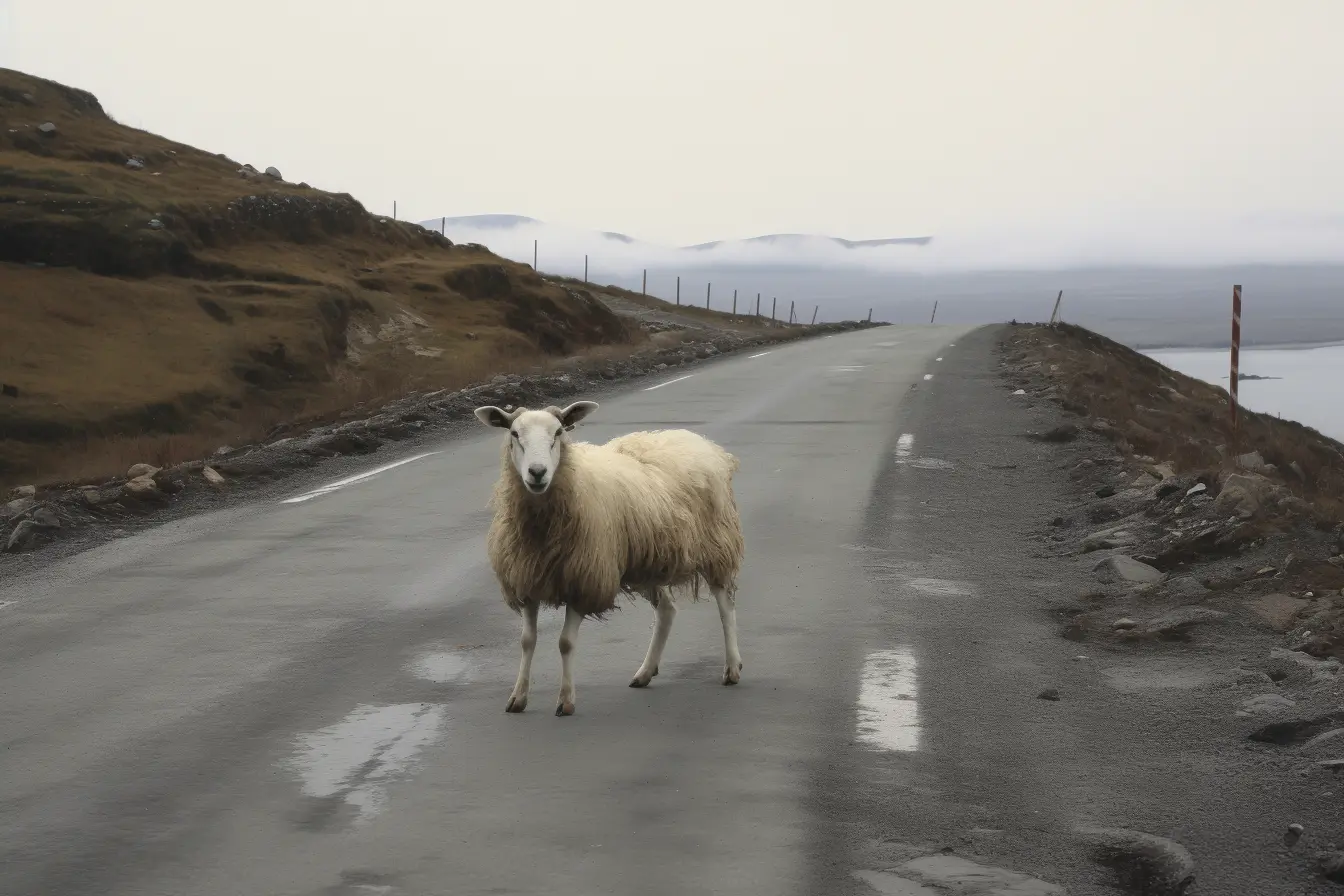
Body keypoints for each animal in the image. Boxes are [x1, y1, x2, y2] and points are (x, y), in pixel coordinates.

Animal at [473, 400, 745, 716]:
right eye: (515, 433)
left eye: (558, 433)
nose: (537, 472)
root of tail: (698, 440)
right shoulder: (526, 579)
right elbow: (527, 641)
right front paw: (518, 697)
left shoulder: (584, 580)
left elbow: (566, 643)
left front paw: (566, 700)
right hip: (645, 563)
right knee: (666, 611)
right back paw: (644, 673)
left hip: (716, 545)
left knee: (725, 605)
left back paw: (732, 668)